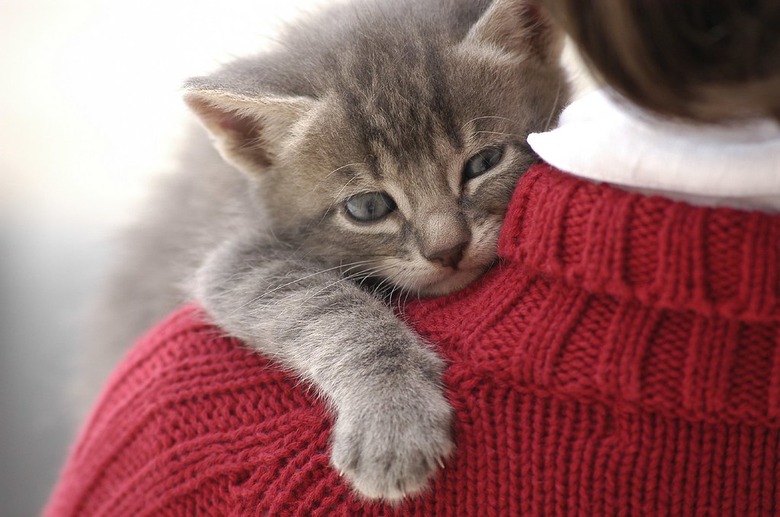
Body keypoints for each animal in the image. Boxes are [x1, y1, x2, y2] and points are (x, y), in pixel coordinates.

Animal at [94, 0, 564, 502]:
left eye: (484, 163)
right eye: (368, 207)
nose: (448, 248)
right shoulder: (235, 253)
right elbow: (325, 307)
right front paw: (392, 416)